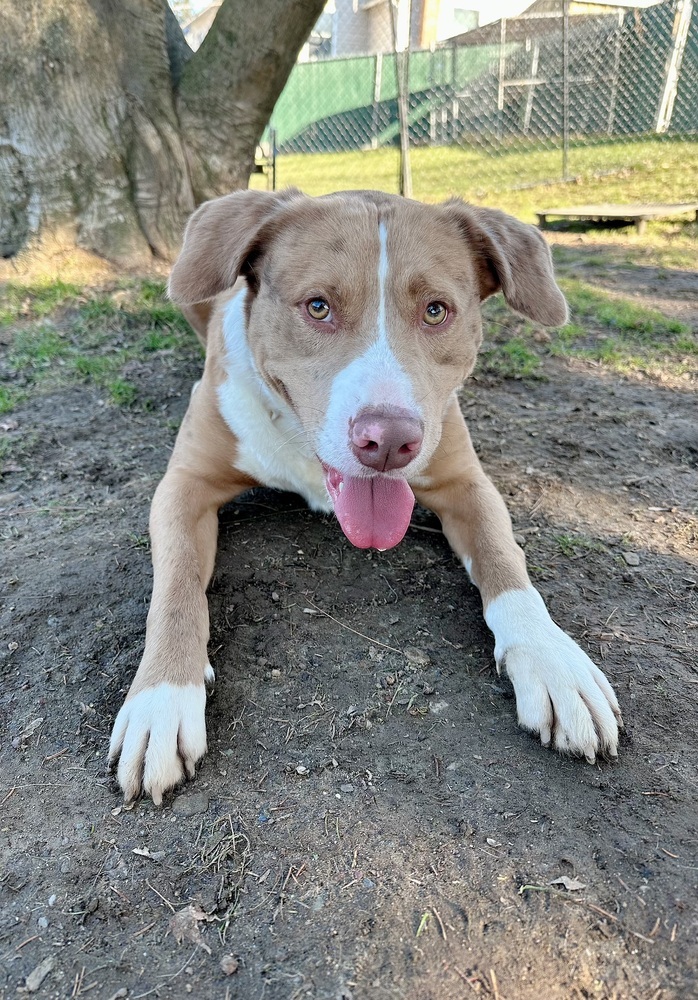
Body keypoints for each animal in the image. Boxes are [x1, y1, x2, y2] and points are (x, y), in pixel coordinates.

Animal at [108, 188, 623, 804]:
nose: (390, 442)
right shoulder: (183, 486)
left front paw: (554, 661)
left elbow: (507, 563)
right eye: (318, 307)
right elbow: (177, 586)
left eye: (436, 310)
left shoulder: (465, 482)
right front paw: (161, 699)